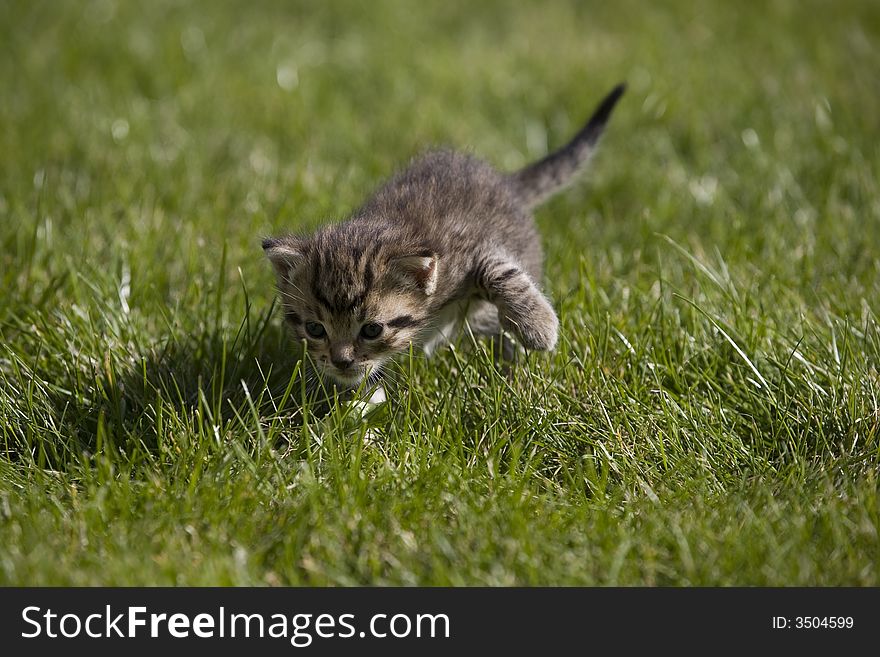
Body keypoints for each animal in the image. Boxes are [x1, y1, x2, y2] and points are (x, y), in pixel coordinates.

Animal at [262, 81, 624, 390]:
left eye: (372, 330)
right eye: (314, 329)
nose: (341, 362)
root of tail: (506, 183)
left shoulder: (470, 248)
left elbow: (500, 271)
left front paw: (539, 326)